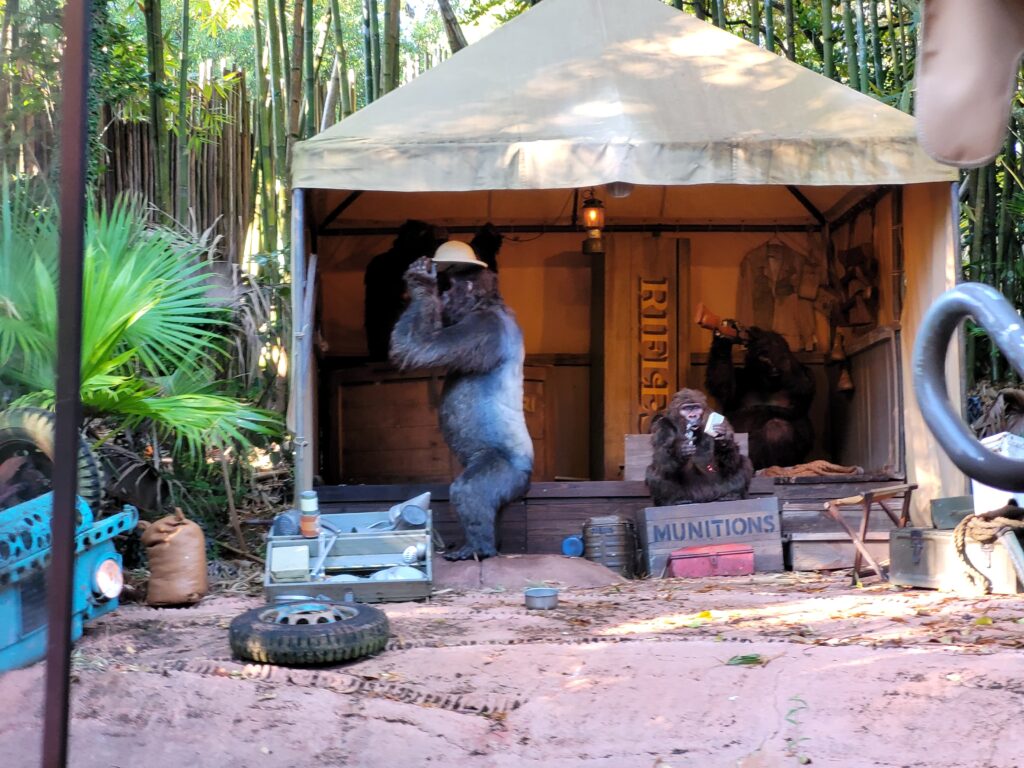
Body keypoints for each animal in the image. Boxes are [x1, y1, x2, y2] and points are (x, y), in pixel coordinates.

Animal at [389, 240, 536, 561]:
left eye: (449, 286)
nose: (442, 295)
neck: (486, 303)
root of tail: (528, 480)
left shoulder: (481, 326)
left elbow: (418, 347)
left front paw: (420, 282)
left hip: (507, 471)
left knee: (470, 490)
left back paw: (479, 547)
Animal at [708, 325, 811, 468]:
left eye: (769, 357)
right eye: (762, 358)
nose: (773, 369)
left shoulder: (806, 374)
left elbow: (801, 393)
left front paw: (773, 345)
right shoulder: (740, 376)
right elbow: (724, 389)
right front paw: (723, 340)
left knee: (777, 427)